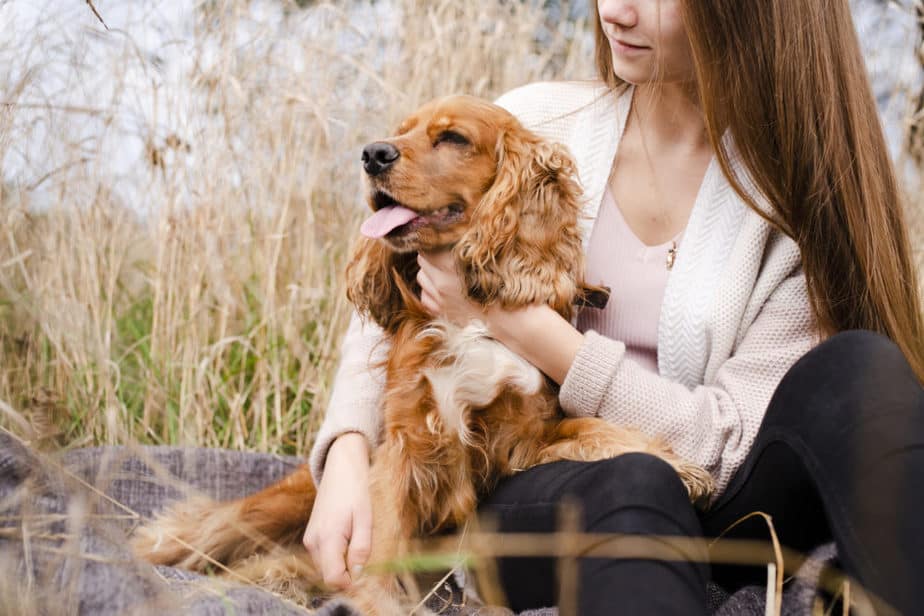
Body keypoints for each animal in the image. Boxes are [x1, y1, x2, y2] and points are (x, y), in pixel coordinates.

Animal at [134, 94, 716, 612]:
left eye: (452, 138)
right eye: (401, 131)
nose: (372, 154)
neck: (468, 320)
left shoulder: (523, 439)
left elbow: (595, 430)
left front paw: (675, 463)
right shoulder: (406, 441)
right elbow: (379, 543)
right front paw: (374, 603)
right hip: (278, 505)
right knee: (201, 530)